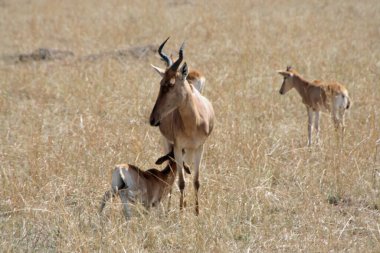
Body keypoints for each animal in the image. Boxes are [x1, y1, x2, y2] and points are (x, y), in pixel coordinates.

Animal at [149, 38, 214, 215]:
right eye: (160, 82)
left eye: (171, 84)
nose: (153, 119)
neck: (193, 123)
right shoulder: (178, 148)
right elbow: (181, 181)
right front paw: (181, 212)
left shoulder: (200, 147)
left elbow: (197, 180)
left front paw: (197, 212)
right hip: (168, 144)